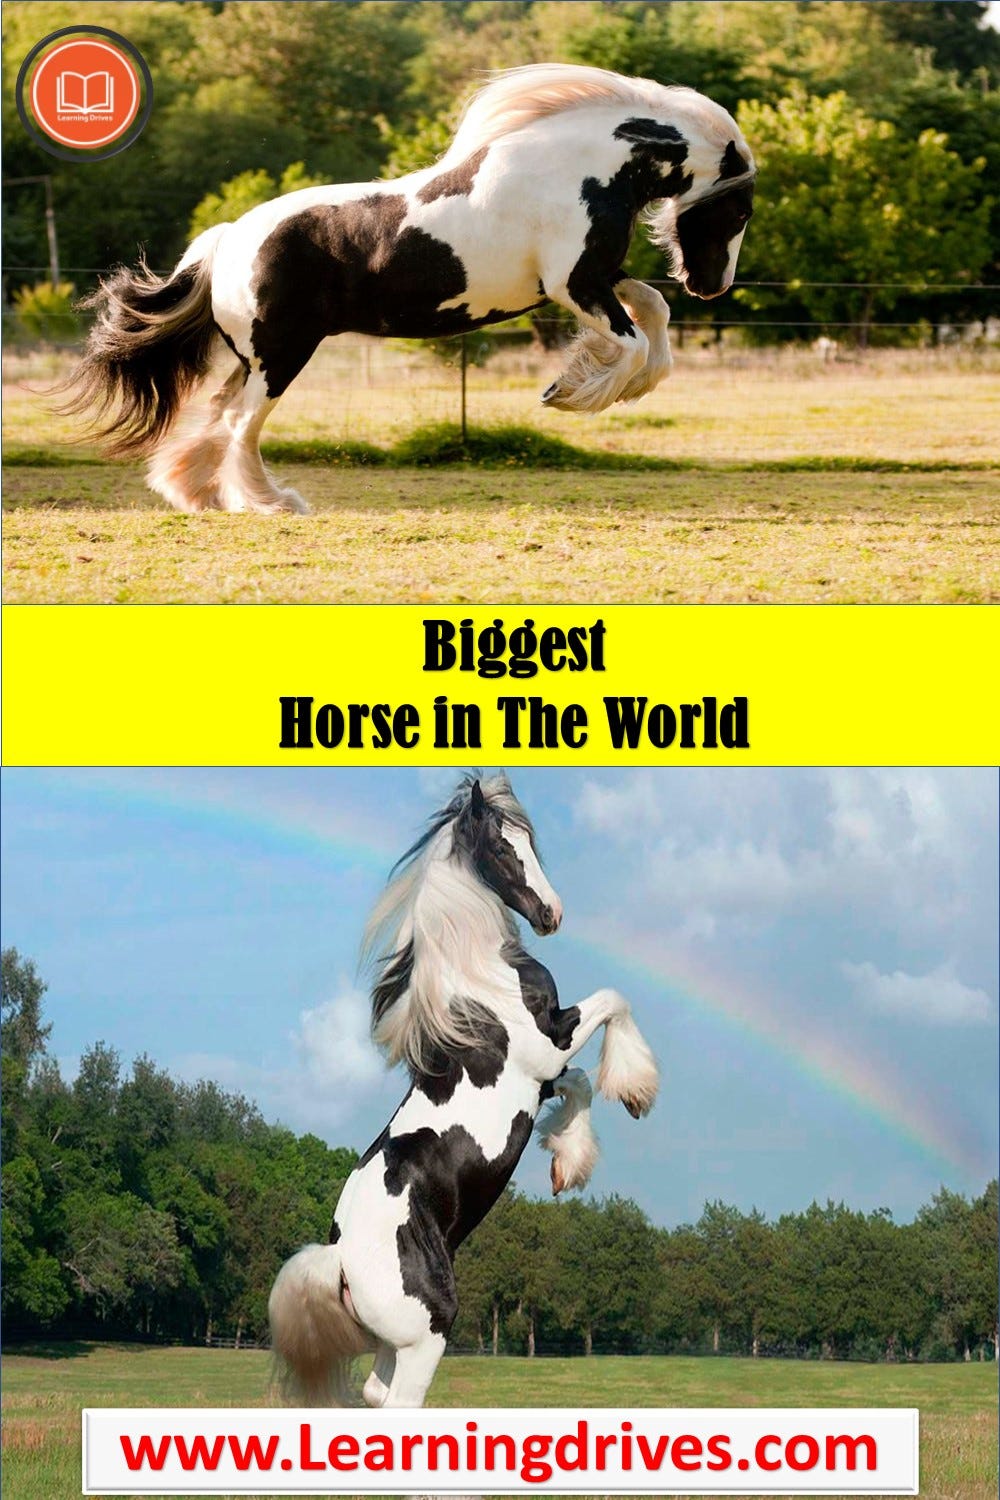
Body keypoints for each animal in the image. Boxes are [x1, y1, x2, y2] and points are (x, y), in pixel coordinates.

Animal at [63, 63, 755, 514]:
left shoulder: (596, 279)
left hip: (254, 358)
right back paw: (270, 502)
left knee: (218, 415)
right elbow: (634, 343)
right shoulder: (574, 285)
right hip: (280, 357)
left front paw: (597, 385)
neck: (578, 170)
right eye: (740, 210)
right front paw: (570, 393)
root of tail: (228, 240)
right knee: (239, 424)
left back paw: (197, 494)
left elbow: (653, 315)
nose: (710, 286)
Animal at [268, 774, 659, 1408]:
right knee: (399, 1402)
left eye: (531, 843)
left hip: (394, 1344)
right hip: (428, 1332)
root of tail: (339, 1263)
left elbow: (578, 1085)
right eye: (502, 848)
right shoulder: (549, 1044)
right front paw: (637, 1088)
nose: (551, 913)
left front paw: (567, 1165)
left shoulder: (544, 1076)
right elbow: (614, 999)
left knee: (374, 1393)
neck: (480, 979)